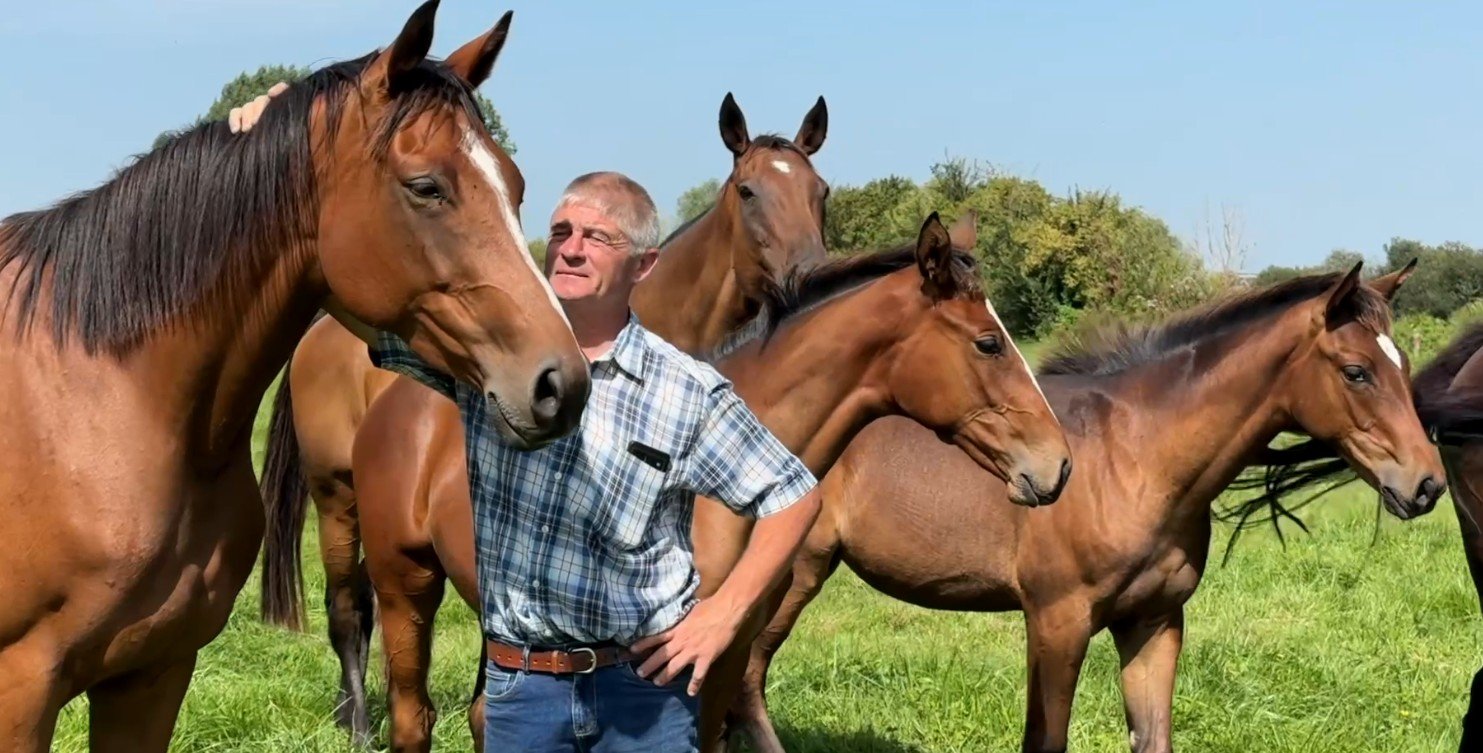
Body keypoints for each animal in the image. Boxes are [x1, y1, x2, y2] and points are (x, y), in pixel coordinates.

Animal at [0, 4, 591, 751]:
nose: (560, 383)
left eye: (513, 186)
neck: (100, 400)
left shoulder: (152, 672)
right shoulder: (22, 687)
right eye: (425, 186)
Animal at [731, 263, 1447, 753]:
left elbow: (1153, 737)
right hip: (791, 576)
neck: (1137, 460)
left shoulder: (1154, 622)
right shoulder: (1057, 620)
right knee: (744, 677)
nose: (1426, 485)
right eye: (1356, 371)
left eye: (1403, 363)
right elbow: (1045, 740)